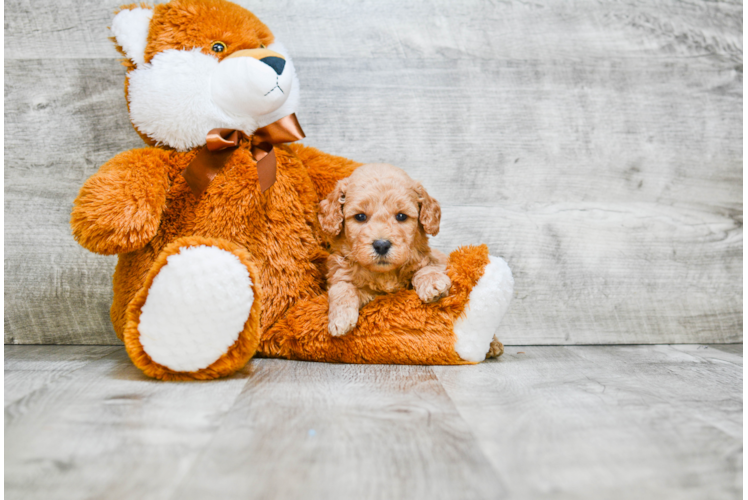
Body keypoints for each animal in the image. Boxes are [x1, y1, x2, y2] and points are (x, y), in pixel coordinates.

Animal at [318, 164, 450, 336]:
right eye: (360, 216)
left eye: (401, 216)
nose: (381, 245)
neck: (384, 274)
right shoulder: (339, 272)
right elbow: (342, 287)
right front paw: (340, 319)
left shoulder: (431, 257)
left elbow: (427, 266)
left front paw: (433, 284)